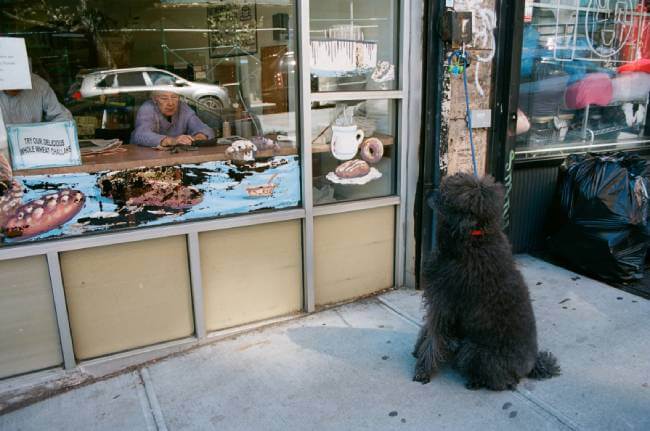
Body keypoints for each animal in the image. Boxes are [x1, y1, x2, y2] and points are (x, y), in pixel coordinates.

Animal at [412, 174, 560, 390]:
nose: (429, 193)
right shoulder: (439, 301)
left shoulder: (443, 303)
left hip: (474, 351)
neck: (473, 238)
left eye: (446, 197)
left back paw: (476, 381)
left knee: (506, 381)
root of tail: (531, 364)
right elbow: (428, 331)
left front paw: (423, 369)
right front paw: (418, 350)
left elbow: (434, 336)